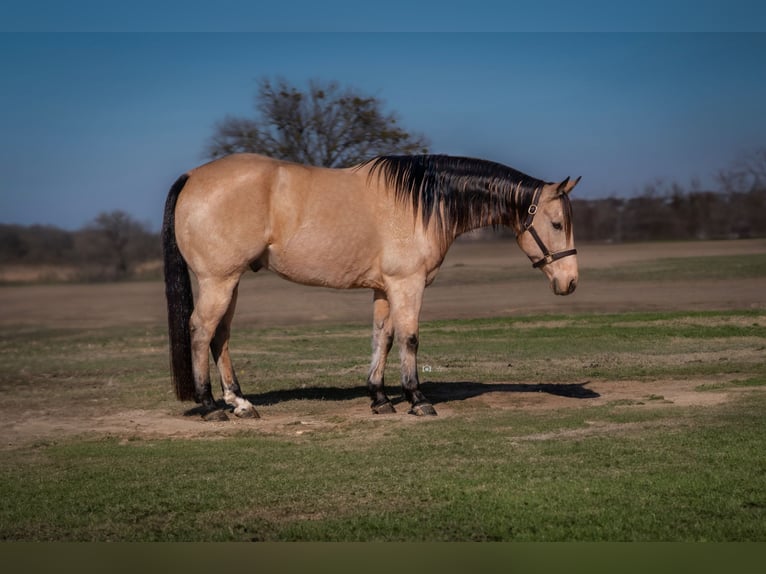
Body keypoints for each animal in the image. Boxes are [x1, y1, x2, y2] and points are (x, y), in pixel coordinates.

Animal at [164, 155, 584, 420]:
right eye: (556, 223)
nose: (571, 282)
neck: (423, 202)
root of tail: (192, 176)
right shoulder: (407, 284)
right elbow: (410, 338)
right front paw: (417, 399)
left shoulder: (385, 289)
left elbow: (382, 337)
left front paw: (380, 399)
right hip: (218, 281)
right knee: (201, 330)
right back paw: (211, 406)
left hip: (230, 283)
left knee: (221, 336)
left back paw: (240, 403)